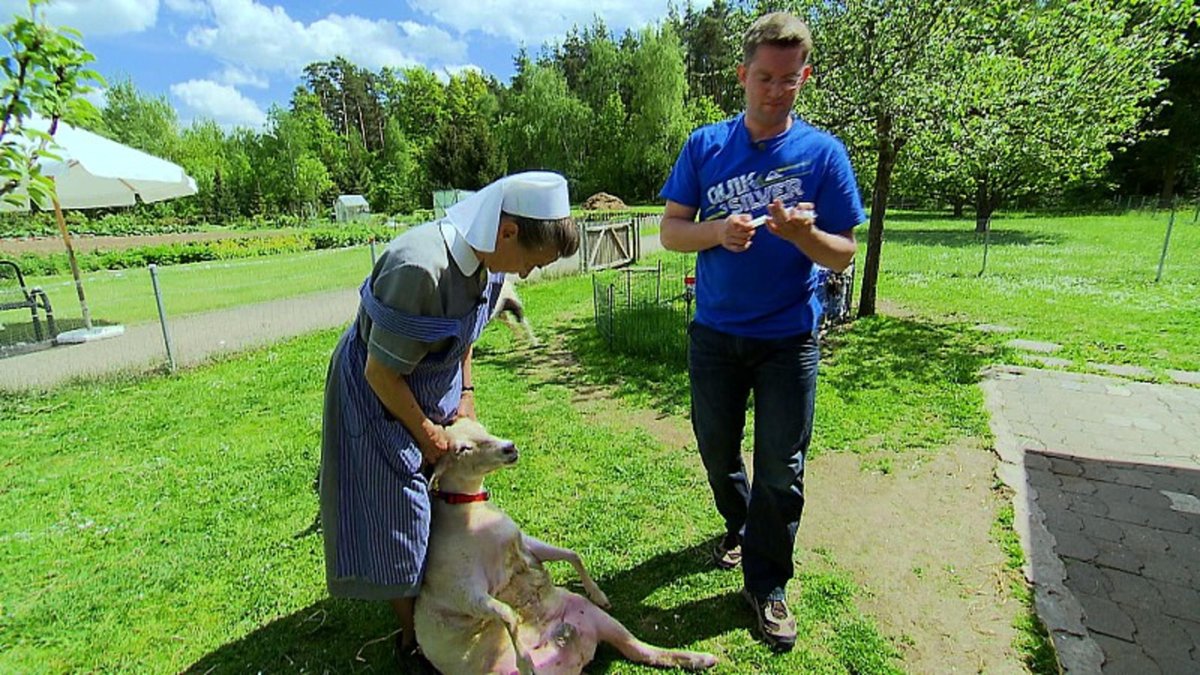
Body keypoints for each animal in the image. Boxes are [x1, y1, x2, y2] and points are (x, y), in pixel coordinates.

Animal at [415, 417, 710, 667]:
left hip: (593, 615)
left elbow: (572, 554)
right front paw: (525, 662)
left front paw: (598, 593)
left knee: (642, 649)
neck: (471, 514)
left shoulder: (525, 545)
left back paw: (701, 659)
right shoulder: (463, 589)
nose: (510, 447)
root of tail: (577, 654)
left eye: (482, 427)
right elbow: (508, 613)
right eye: (462, 449)